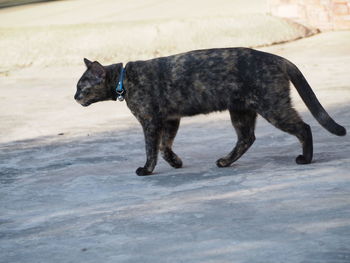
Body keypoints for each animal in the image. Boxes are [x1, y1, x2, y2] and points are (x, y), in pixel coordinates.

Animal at [75, 47, 346, 176]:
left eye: (81, 87)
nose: (74, 97)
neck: (124, 80)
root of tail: (278, 58)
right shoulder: (170, 119)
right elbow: (165, 145)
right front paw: (175, 162)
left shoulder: (151, 121)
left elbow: (151, 149)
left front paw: (147, 170)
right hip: (241, 111)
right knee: (247, 138)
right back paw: (225, 161)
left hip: (273, 108)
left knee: (304, 127)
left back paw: (305, 159)